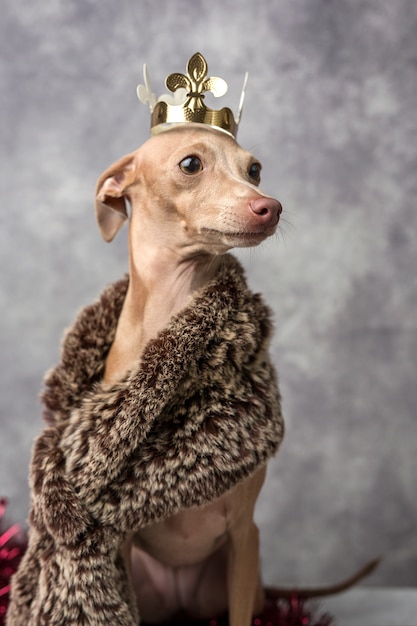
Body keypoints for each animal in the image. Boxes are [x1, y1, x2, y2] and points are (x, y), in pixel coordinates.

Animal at [94, 123, 282, 624]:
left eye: (255, 168)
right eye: (191, 164)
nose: (270, 207)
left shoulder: (244, 534)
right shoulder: (121, 539)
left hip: (241, 574)